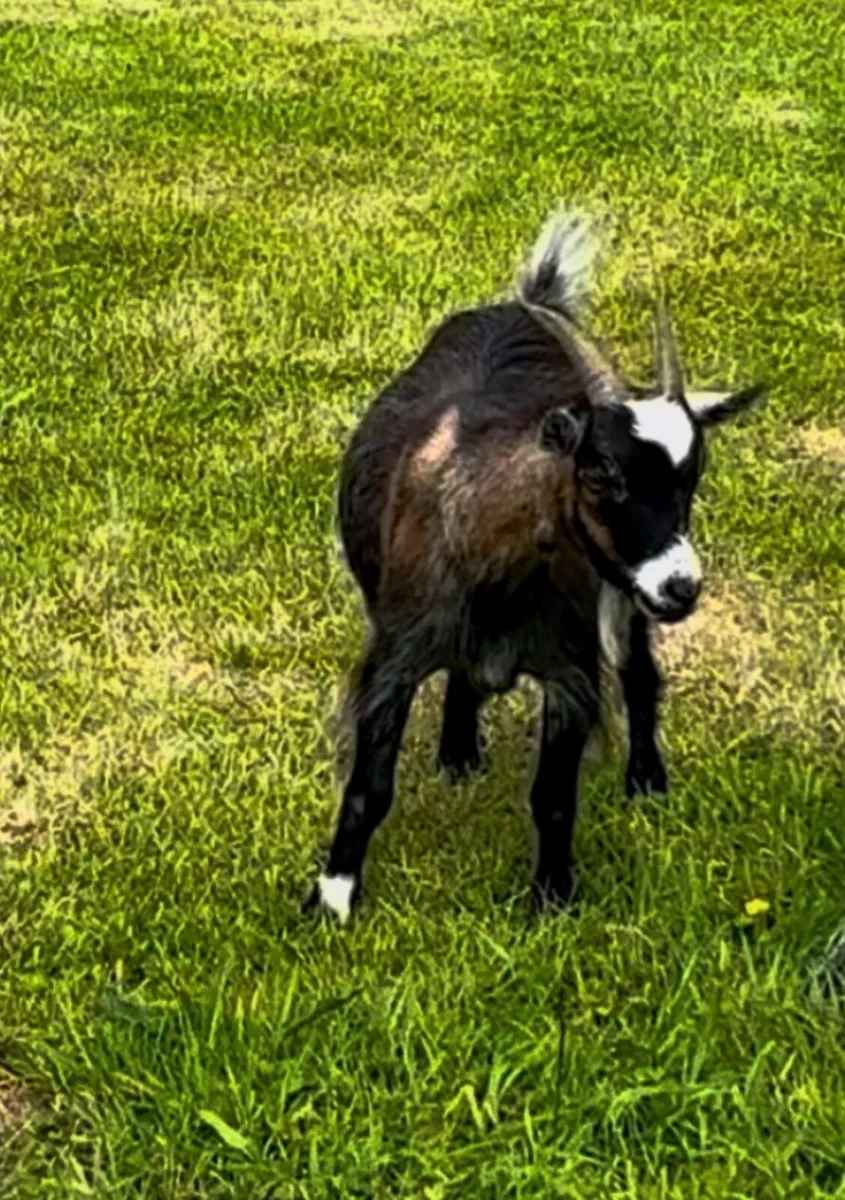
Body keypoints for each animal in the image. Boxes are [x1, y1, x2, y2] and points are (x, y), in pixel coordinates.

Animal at [305, 211, 766, 924]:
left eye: (692, 479)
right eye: (600, 472)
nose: (680, 586)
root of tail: (532, 301)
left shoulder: (570, 669)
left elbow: (553, 797)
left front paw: (551, 900)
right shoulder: (393, 659)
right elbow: (367, 789)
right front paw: (332, 900)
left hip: (621, 604)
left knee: (639, 673)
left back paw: (646, 782)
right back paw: (458, 756)